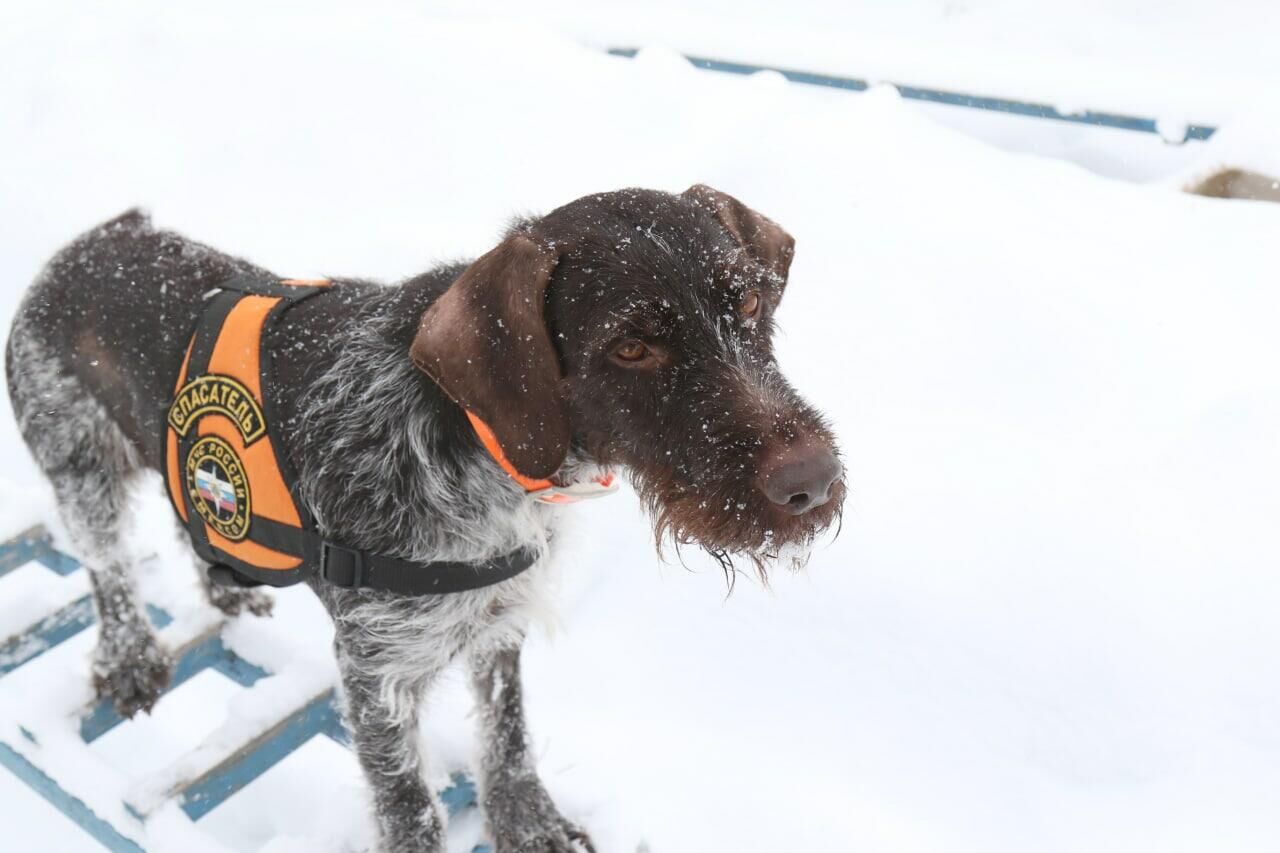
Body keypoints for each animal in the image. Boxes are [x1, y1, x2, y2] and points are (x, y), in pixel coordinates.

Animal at [5, 188, 844, 850]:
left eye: (748, 304)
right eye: (631, 346)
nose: (813, 483)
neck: (477, 435)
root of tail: (87, 243)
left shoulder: (497, 617)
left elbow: (507, 737)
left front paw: (530, 824)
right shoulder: (376, 665)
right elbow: (407, 801)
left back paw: (224, 586)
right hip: (79, 466)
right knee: (107, 568)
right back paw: (129, 656)